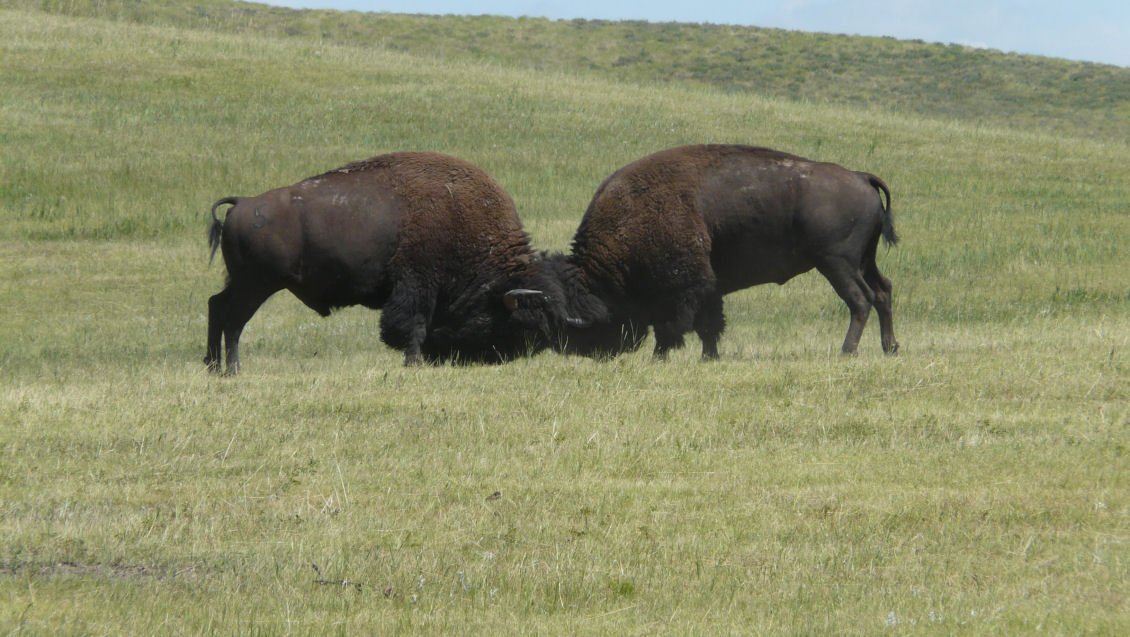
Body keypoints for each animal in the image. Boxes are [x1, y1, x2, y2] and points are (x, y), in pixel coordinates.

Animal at [204, 151, 580, 374]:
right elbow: (411, 326)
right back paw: (233, 369)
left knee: (215, 306)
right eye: (521, 324)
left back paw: (212, 366)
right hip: (256, 286)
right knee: (234, 321)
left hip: (239, 282)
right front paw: (413, 362)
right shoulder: (416, 285)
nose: (504, 358)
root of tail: (242, 203)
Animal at [539, 144, 899, 359]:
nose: (593, 352)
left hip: (837, 263)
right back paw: (890, 348)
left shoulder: (684, 288)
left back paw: (847, 352)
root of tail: (860, 177)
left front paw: (660, 358)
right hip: (863, 260)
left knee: (860, 299)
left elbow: (674, 327)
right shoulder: (709, 288)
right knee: (883, 292)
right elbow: (709, 325)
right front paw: (708, 357)